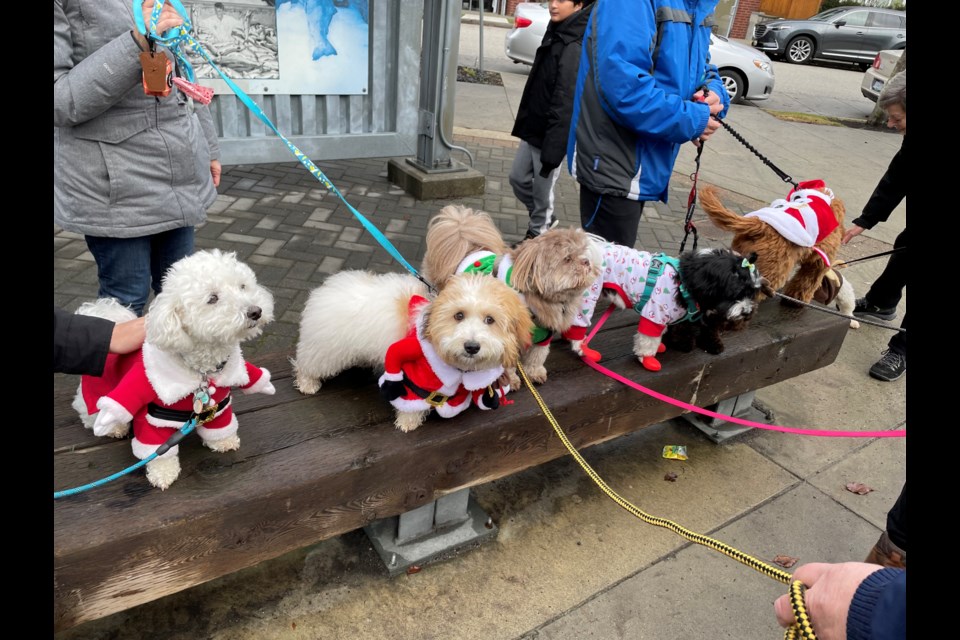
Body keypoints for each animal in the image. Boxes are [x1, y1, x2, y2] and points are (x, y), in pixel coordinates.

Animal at [73, 250, 276, 490]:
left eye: (243, 286)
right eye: (212, 299)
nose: (255, 311)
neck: (202, 371)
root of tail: (108, 314)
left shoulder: (219, 405)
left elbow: (222, 425)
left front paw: (224, 441)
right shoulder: (151, 416)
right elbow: (158, 452)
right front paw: (163, 474)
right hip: (99, 387)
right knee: (90, 407)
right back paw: (112, 426)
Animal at [292, 268, 532, 432]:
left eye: (490, 320)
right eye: (459, 315)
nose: (471, 346)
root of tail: (327, 288)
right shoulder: (416, 372)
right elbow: (414, 398)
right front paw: (408, 422)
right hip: (325, 350)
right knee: (307, 365)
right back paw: (308, 383)